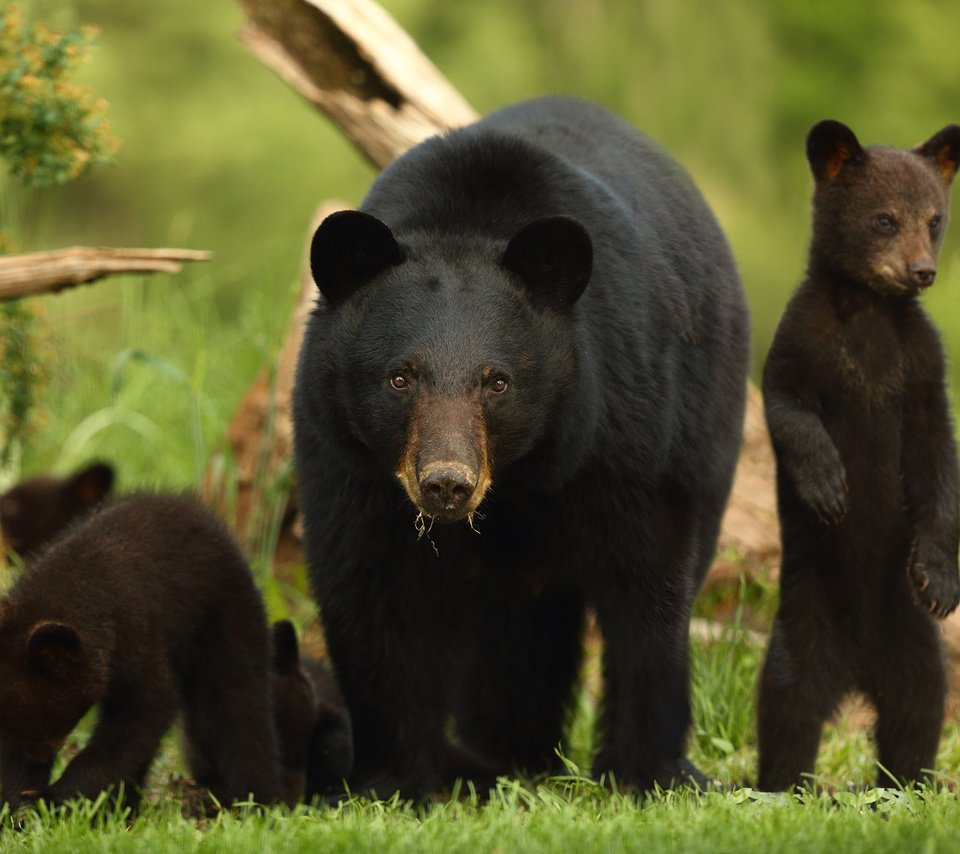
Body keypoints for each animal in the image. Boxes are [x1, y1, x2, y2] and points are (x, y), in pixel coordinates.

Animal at [0, 494, 282, 808]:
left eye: (46, 732)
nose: (37, 759)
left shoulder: (135, 632)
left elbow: (145, 711)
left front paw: (60, 797)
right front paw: (21, 800)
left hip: (226, 615)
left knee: (240, 699)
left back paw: (255, 799)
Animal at [292, 97, 752, 800]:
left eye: (497, 381)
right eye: (401, 377)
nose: (446, 483)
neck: (517, 478)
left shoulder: (623, 426)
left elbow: (648, 581)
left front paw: (647, 775)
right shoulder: (346, 458)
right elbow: (371, 590)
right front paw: (390, 780)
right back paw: (504, 755)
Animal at [756, 118, 960, 788]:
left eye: (935, 219)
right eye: (884, 219)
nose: (921, 271)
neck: (870, 311)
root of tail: (858, 670)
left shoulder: (922, 367)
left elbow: (936, 459)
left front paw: (940, 577)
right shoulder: (800, 341)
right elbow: (789, 408)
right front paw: (829, 490)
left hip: (918, 646)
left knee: (918, 711)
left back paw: (906, 784)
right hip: (802, 626)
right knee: (787, 709)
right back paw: (781, 787)